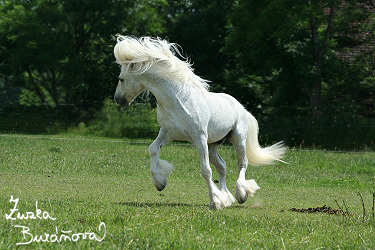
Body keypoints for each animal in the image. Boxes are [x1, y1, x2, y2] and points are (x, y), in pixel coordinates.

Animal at [113, 35, 286, 210]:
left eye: (121, 79)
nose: (118, 100)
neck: (177, 99)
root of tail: (241, 108)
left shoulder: (199, 138)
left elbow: (206, 171)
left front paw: (215, 202)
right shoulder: (167, 133)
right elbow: (153, 149)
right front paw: (160, 183)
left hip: (237, 138)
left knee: (242, 163)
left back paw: (241, 194)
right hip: (213, 145)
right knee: (222, 166)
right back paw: (226, 198)